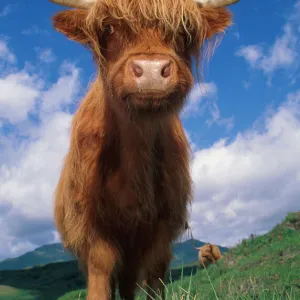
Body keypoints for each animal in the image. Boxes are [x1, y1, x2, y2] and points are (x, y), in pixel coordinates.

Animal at [49, 0, 239, 300]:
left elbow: (156, 273)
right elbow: (101, 270)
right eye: (108, 27)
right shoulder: (92, 226)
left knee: (128, 282)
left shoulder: (163, 223)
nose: (151, 71)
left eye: (185, 30)